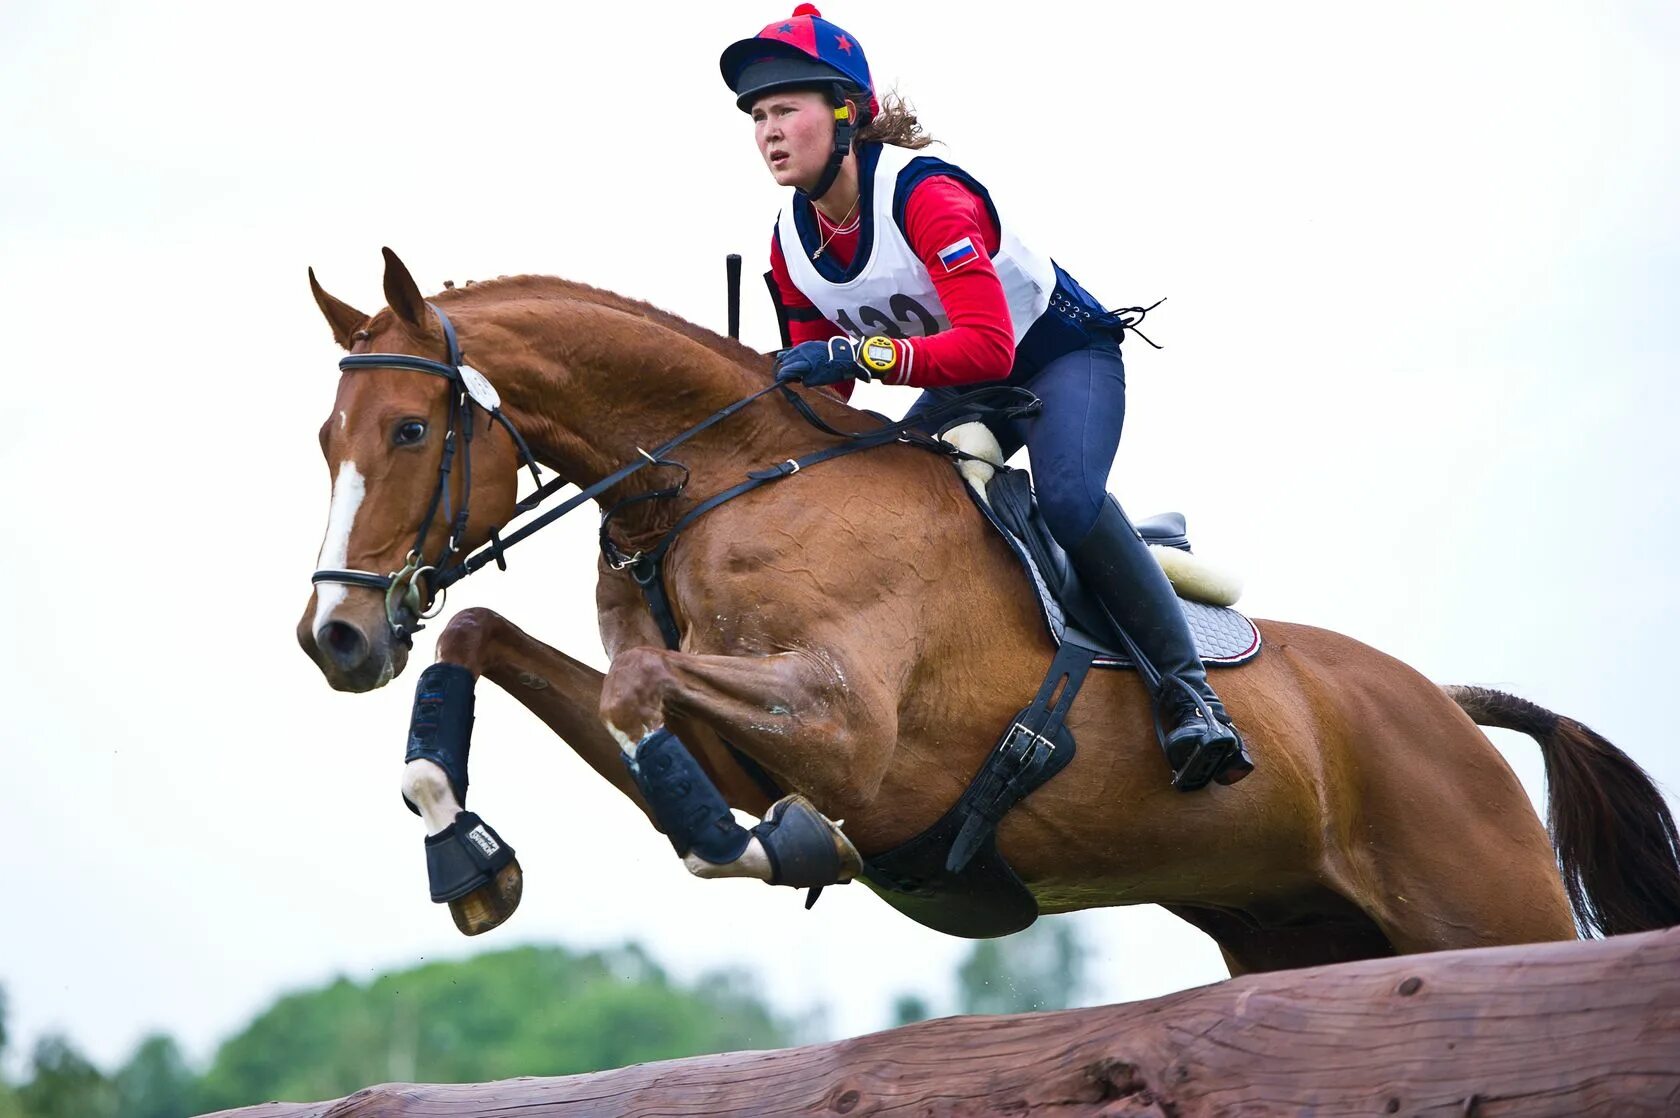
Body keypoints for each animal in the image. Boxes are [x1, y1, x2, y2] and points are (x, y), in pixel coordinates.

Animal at [299, 248, 1680, 975]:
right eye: (326, 438)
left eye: (412, 430)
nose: (337, 639)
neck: (717, 484)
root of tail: (1447, 709)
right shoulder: (731, 748)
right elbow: (485, 641)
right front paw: (465, 853)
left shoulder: (845, 728)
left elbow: (657, 708)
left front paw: (779, 849)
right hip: (1307, 936)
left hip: (1492, 906)